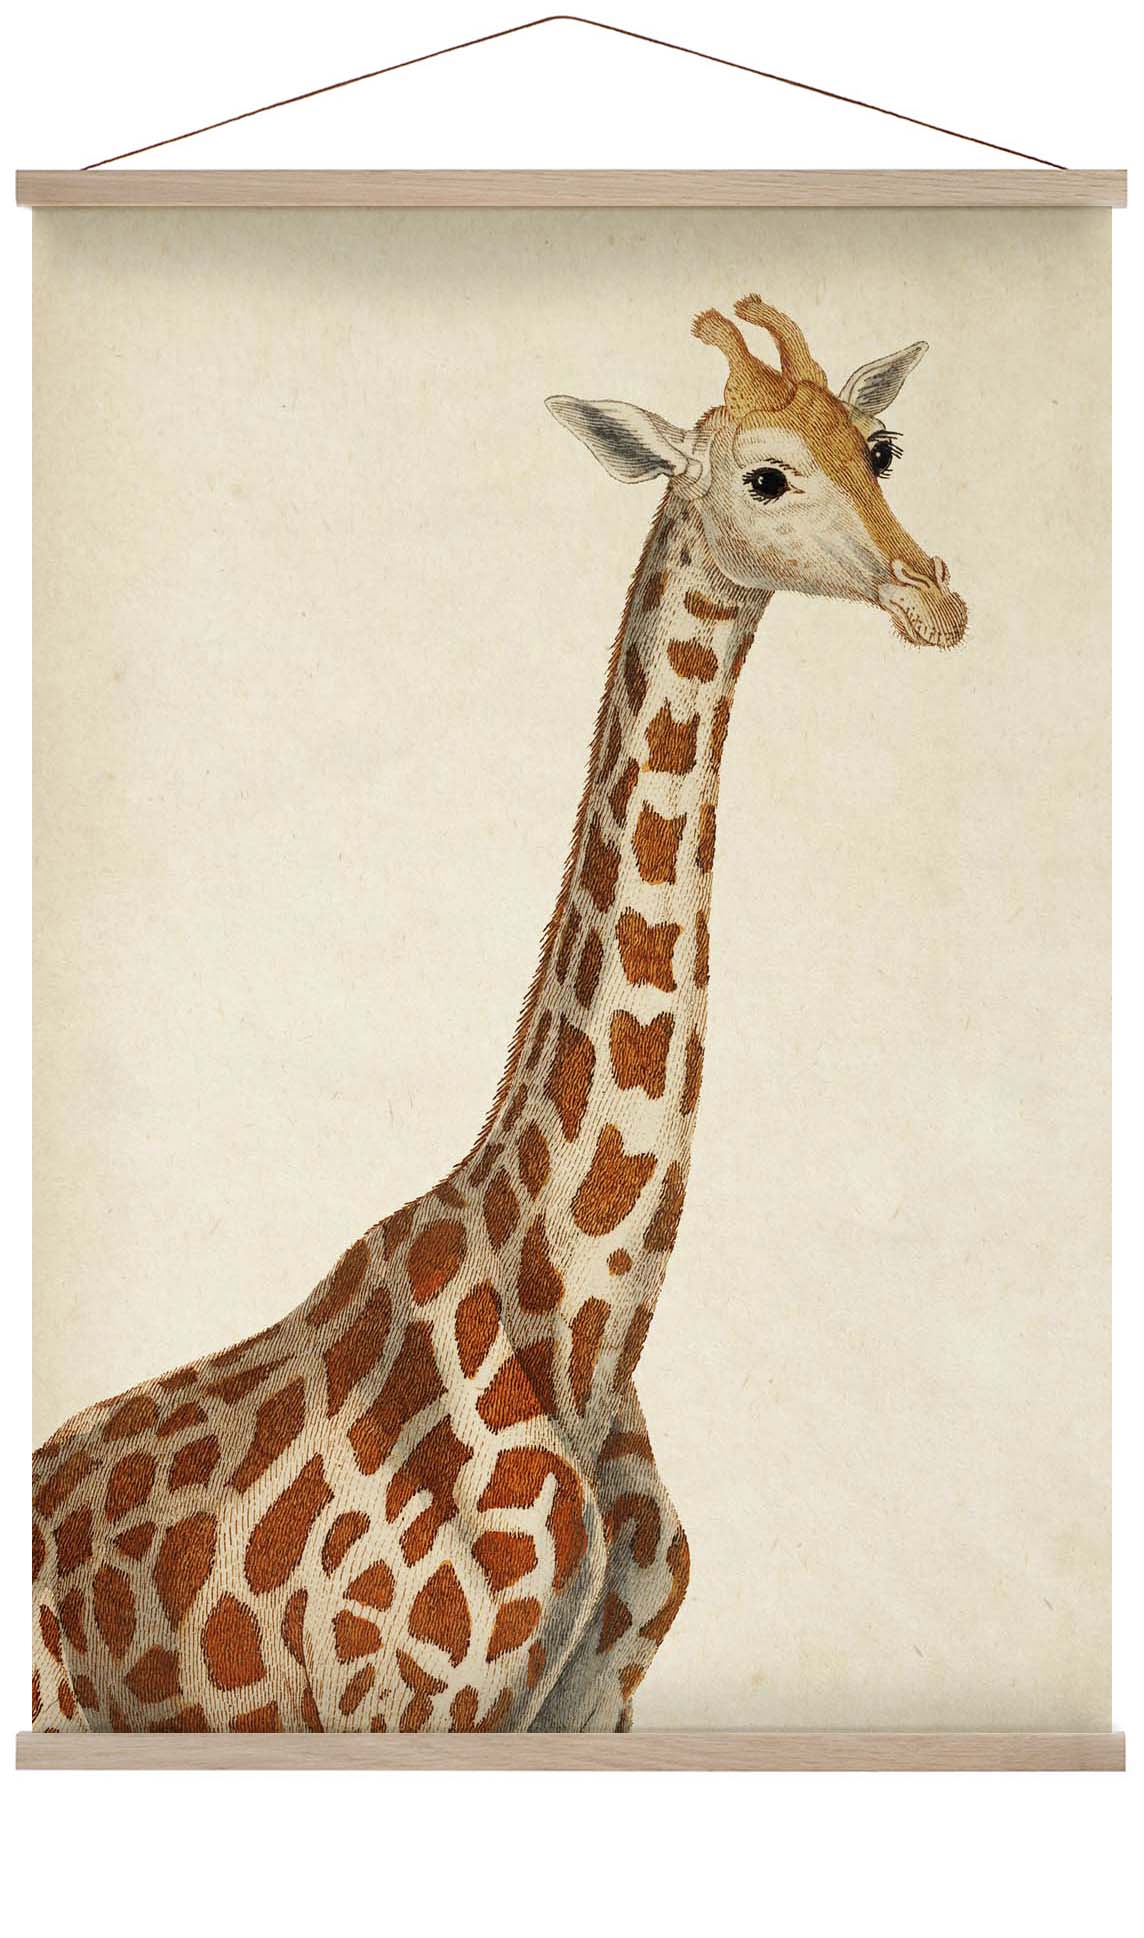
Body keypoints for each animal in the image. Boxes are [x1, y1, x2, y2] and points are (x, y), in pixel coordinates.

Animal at [31, 295, 966, 1737]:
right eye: (765, 476)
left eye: (882, 446)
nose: (936, 597)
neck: (586, 1327)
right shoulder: (410, 1706)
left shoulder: (595, 1706)